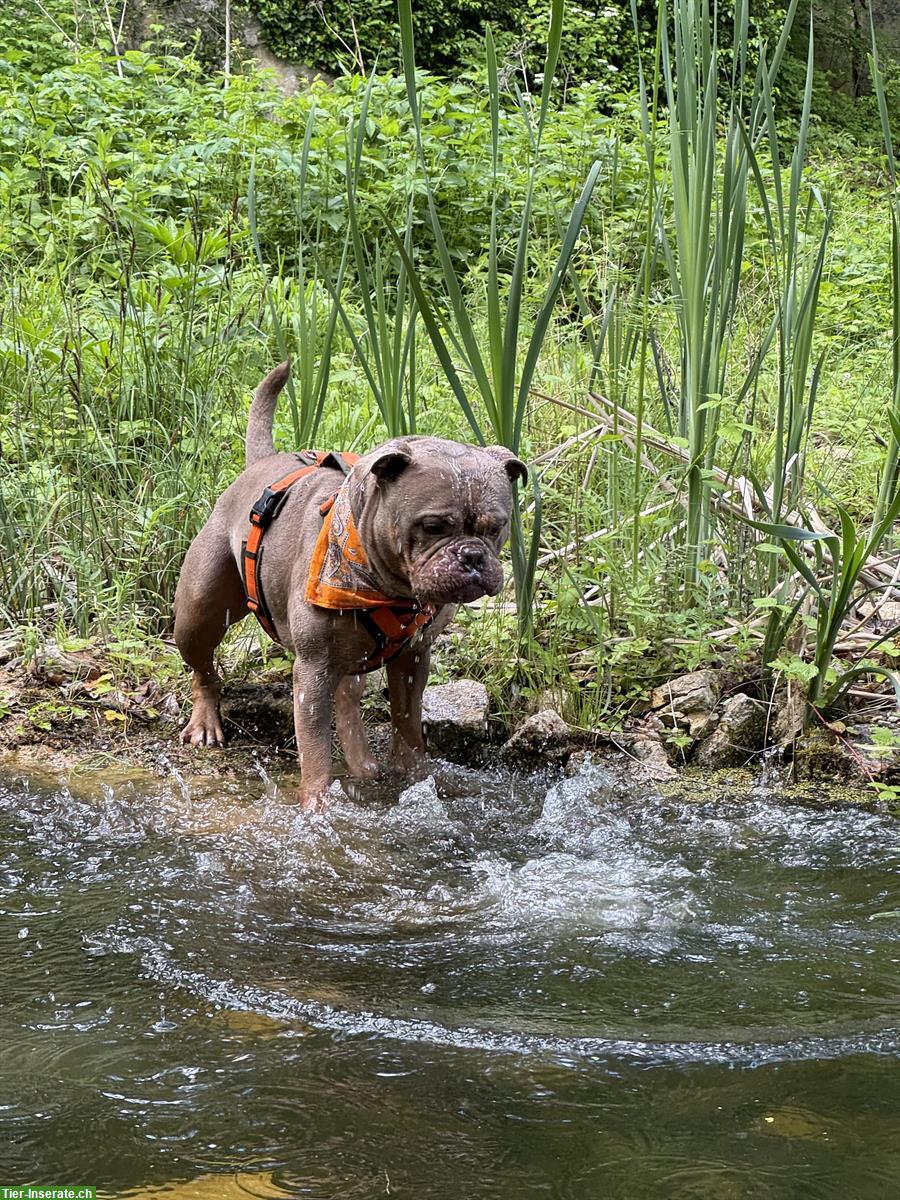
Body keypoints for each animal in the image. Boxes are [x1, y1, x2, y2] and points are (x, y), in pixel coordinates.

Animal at [172, 355, 528, 806]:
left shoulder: (413, 658)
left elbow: (407, 724)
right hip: (198, 612)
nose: (472, 556)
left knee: (348, 695)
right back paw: (205, 722)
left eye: (497, 527)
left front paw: (416, 778)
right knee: (202, 667)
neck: (391, 589)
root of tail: (260, 464)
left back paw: (362, 764)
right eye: (432, 526)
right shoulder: (312, 670)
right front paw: (316, 807)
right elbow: (315, 749)